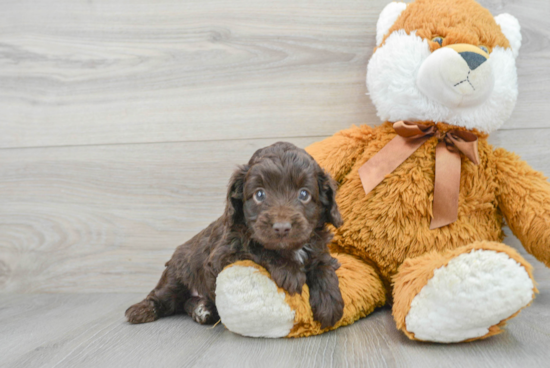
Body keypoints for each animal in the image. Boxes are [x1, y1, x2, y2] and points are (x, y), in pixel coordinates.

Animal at [127, 142, 348, 330]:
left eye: (304, 194)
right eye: (259, 194)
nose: (282, 228)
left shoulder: (318, 246)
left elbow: (323, 264)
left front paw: (329, 301)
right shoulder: (223, 255)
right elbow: (257, 248)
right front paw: (290, 271)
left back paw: (203, 310)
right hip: (176, 275)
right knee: (164, 296)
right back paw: (141, 310)